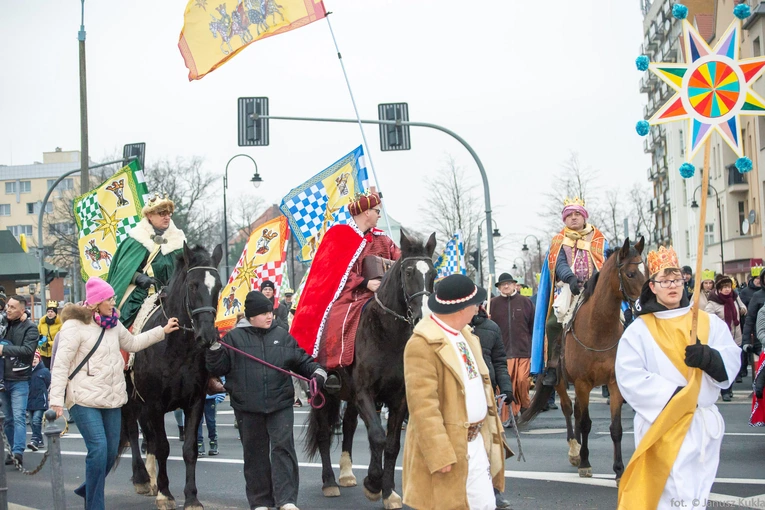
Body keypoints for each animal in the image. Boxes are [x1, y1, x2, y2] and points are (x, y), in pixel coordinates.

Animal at [118, 243, 221, 510]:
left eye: (218, 285)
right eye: (193, 285)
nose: (207, 336)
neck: (176, 347)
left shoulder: (195, 402)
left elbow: (189, 449)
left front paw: (192, 497)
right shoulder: (155, 404)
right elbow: (163, 446)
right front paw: (166, 494)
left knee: (147, 436)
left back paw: (152, 477)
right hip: (129, 398)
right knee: (133, 431)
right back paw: (143, 478)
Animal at [304, 231, 436, 510]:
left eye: (433, 272)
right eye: (408, 271)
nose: (423, 317)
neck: (387, 334)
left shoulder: (398, 399)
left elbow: (392, 444)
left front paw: (388, 492)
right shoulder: (365, 393)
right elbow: (377, 436)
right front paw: (373, 484)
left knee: (349, 426)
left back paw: (346, 474)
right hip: (322, 394)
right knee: (323, 433)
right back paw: (330, 482)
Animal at [520, 235, 644, 482]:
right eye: (630, 274)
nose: (643, 304)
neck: (599, 330)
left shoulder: (613, 383)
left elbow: (616, 428)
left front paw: (619, 470)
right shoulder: (582, 382)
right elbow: (586, 423)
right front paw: (585, 463)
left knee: (577, 411)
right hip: (561, 381)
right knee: (569, 410)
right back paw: (575, 451)